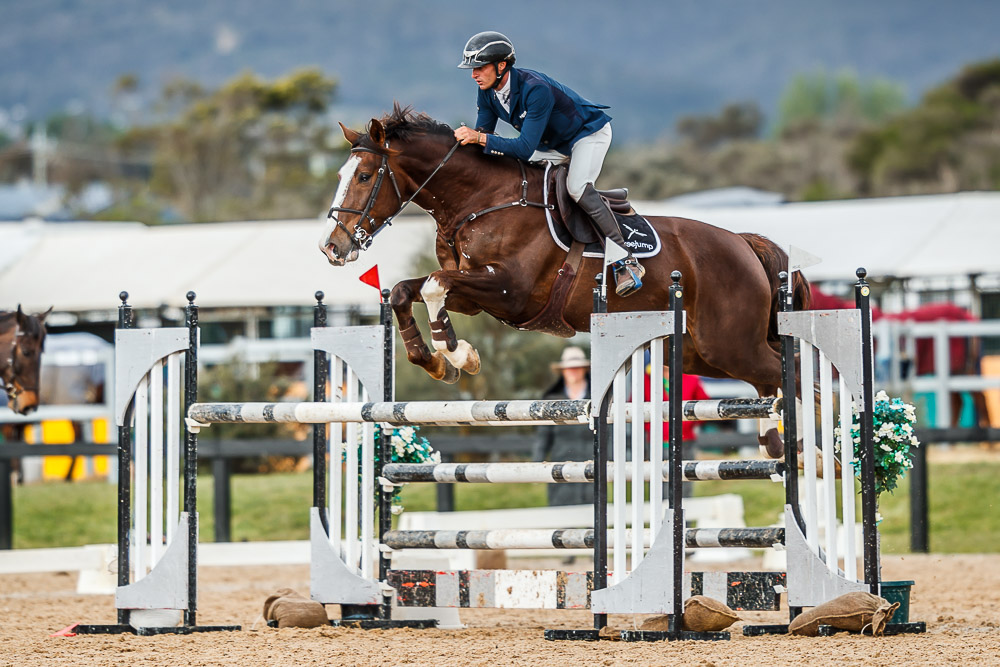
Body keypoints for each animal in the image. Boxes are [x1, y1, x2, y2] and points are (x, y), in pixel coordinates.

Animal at [320, 105, 812, 460]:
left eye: (364, 176)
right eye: (341, 176)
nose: (332, 247)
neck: (482, 199)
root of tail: (744, 244)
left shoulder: (508, 291)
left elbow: (435, 285)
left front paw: (460, 354)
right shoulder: (475, 295)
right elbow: (409, 290)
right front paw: (436, 361)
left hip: (728, 343)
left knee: (788, 368)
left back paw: (809, 449)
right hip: (700, 352)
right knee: (771, 376)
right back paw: (779, 444)